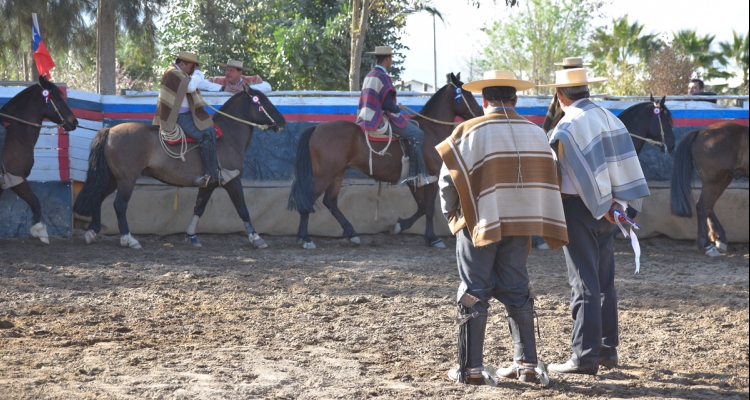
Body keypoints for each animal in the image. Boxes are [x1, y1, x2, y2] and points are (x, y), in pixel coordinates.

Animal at [0, 76, 79, 242]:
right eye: (57, 98)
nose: (74, 122)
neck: (14, 135)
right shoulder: (16, 178)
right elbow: (35, 201)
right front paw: (41, 231)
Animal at [73, 86, 286, 248]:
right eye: (263, 102)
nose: (282, 122)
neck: (228, 136)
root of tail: (109, 130)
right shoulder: (232, 181)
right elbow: (242, 208)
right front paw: (256, 238)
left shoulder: (209, 184)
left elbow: (199, 208)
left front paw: (191, 235)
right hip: (126, 179)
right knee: (119, 205)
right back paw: (129, 239)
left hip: (112, 178)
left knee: (99, 198)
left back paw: (92, 232)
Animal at [288, 71, 482, 247]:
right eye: (467, 94)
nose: (479, 112)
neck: (431, 131)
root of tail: (316, 128)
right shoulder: (431, 178)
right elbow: (428, 209)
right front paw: (433, 238)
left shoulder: (415, 180)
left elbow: (421, 207)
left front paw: (400, 226)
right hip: (324, 175)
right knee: (310, 199)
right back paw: (306, 238)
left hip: (337, 173)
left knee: (330, 202)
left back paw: (351, 234)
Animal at [672, 120, 748, 256]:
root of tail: (700, 132)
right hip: (715, 180)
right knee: (703, 207)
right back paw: (706, 245)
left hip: (723, 179)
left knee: (708, 206)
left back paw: (720, 240)